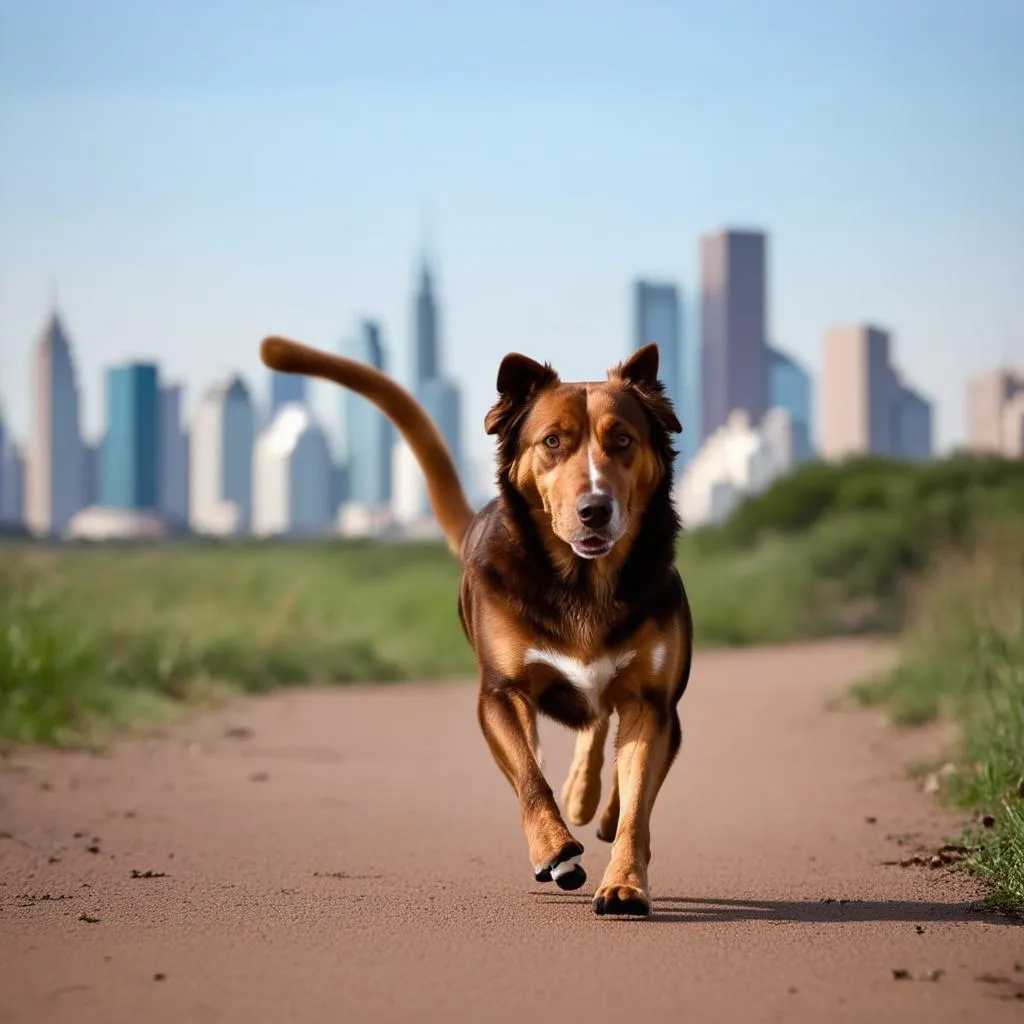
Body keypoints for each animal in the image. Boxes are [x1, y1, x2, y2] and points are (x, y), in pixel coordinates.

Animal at [260, 337, 692, 921]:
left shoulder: (653, 702)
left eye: (622, 440)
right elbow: (530, 778)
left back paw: (594, 803)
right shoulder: (501, 694)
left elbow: (636, 805)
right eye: (552, 441)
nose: (594, 510)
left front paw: (624, 882)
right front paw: (556, 850)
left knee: (606, 735)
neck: (584, 582)